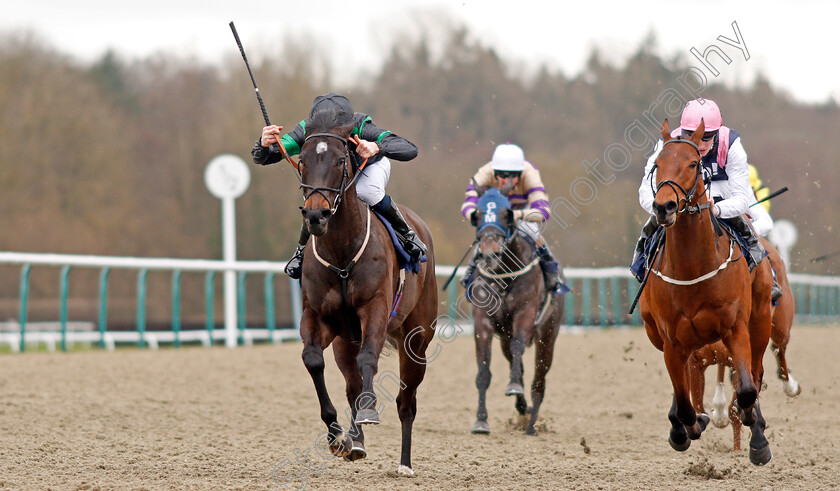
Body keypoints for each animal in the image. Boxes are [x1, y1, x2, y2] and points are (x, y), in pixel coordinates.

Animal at [296, 108, 440, 476]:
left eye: (339, 160)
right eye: (302, 159)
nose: (316, 214)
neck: (341, 251)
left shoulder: (374, 309)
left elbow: (369, 360)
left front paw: (370, 411)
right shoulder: (319, 316)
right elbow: (313, 359)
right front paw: (337, 437)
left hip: (416, 339)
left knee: (406, 401)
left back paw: (404, 464)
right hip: (345, 341)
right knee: (352, 385)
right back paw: (356, 442)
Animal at [466, 186, 564, 436]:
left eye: (506, 214)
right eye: (478, 214)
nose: (489, 254)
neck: (503, 275)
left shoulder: (525, 314)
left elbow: (520, 347)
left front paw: (513, 386)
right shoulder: (483, 322)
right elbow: (483, 372)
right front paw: (481, 421)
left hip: (548, 336)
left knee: (538, 381)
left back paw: (531, 426)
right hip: (504, 339)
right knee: (515, 363)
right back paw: (523, 408)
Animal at [644, 118, 776, 466]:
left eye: (693, 163)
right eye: (657, 164)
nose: (664, 207)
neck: (693, 267)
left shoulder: (735, 329)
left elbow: (746, 390)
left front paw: (755, 433)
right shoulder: (673, 342)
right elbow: (686, 406)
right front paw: (687, 428)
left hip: (760, 324)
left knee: (756, 374)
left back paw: (756, 428)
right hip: (659, 334)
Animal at [688, 237, 800, 450]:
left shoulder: (739, 363)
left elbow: (736, 410)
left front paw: (738, 450)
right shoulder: (696, 361)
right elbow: (698, 407)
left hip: (781, 327)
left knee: (779, 348)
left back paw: (790, 386)